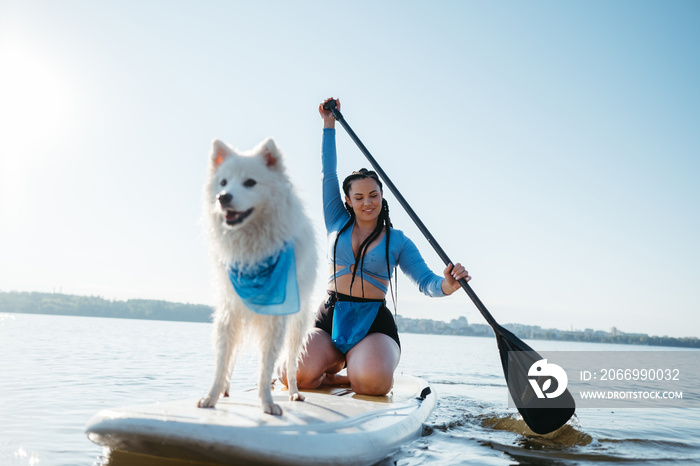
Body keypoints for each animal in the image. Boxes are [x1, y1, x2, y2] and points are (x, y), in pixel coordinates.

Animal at [197, 137, 318, 414]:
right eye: (223, 182)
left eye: (250, 182)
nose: (223, 197)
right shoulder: (229, 310)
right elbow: (222, 361)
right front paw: (211, 396)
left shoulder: (277, 318)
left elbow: (267, 367)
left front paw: (267, 403)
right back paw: (226, 389)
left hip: (297, 324)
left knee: (291, 364)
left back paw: (295, 393)